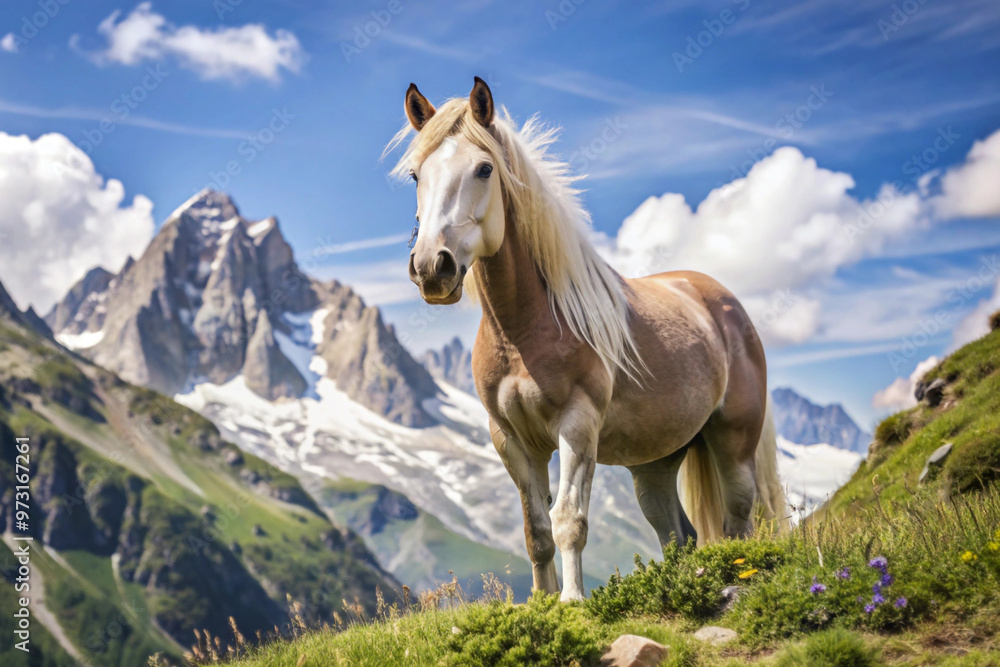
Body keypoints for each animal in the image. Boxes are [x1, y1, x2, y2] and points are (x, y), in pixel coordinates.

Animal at [390, 77, 786, 601]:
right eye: (416, 176)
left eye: (484, 168)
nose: (433, 268)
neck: (524, 332)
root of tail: (725, 304)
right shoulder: (511, 439)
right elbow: (536, 530)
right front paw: (542, 602)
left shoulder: (577, 427)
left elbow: (568, 521)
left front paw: (573, 600)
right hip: (655, 465)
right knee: (679, 534)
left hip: (733, 442)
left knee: (737, 520)